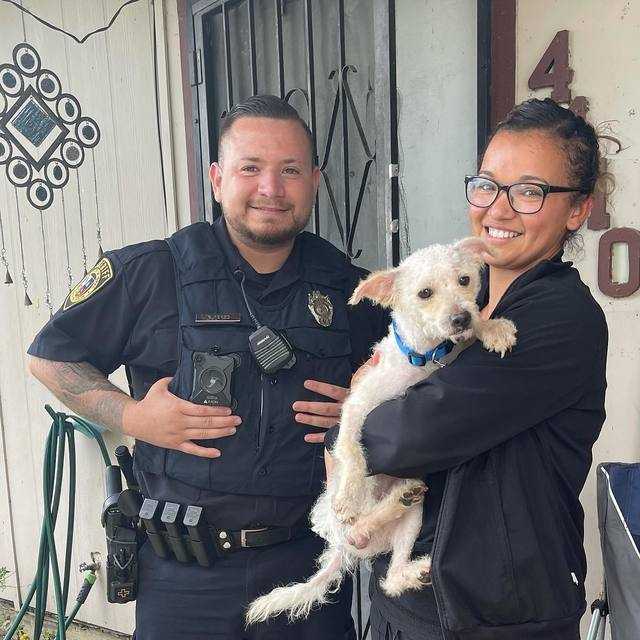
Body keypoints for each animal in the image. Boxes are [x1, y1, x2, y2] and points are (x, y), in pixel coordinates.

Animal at [245, 238, 516, 624]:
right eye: (424, 293)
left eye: (464, 280)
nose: (460, 317)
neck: (424, 358)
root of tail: (344, 551)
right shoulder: (355, 408)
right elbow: (351, 451)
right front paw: (349, 493)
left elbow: (469, 336)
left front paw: (492, 328)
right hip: (330, 516)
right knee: (355, 528)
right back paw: (361, 509)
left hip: (412, 521)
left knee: (391, 576)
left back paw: (406, 538)